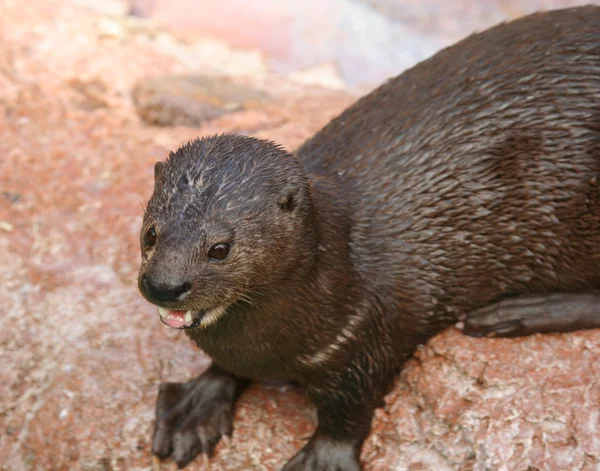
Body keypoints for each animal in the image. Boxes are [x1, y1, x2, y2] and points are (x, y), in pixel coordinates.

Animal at [136, 5, 600, 470]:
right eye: (151, 232)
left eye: (220, 248)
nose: (164, 285)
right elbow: (224, 367)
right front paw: (192, 407)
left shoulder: (365, 338)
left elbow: (350, 411)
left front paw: (324, 458)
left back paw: (520, 312)